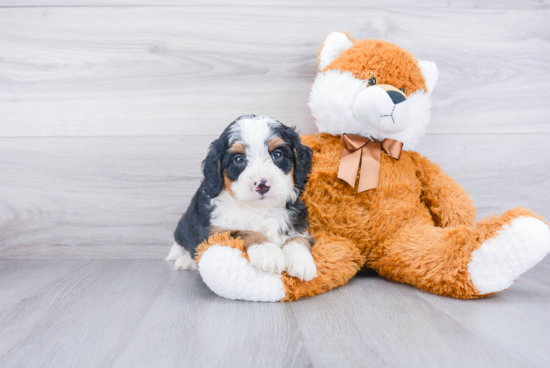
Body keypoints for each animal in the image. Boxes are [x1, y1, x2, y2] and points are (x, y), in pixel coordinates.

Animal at [166, 115, 316, 282]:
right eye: (238, 159)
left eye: (277, 155)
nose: (262, 185)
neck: (259, 209)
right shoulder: (214, 232)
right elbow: (241, 231)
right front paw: (267, 251)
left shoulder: (297, 218)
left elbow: (298, 237)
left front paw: (301, 260)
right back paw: (184, 260)